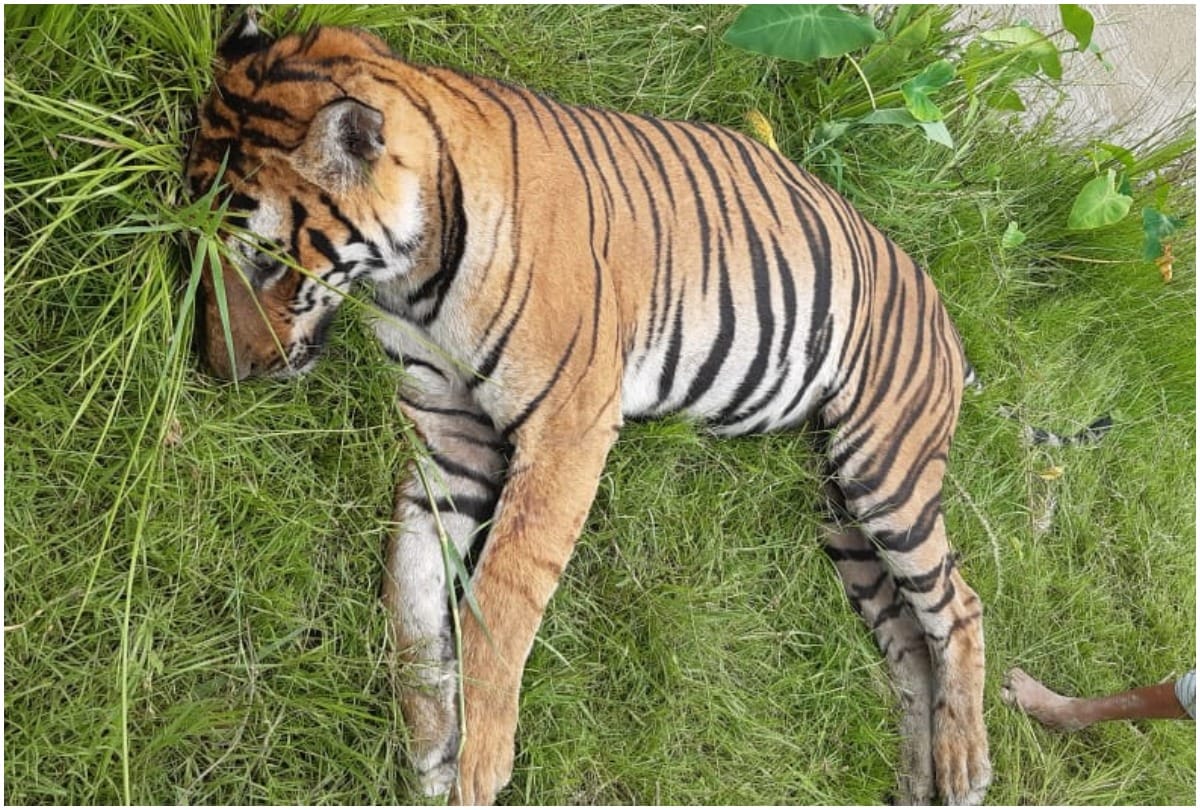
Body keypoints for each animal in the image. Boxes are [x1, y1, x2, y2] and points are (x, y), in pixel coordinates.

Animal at [186, 11, 991, 805]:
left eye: (264, 259)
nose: (224, 371)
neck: (409, 275)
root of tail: (938, 297)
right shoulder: (447, 433)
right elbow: (410, 592)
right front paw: (428, 744)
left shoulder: (567, 430)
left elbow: (502, 596)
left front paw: (475, 763)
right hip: (839, 513)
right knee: (908, 639)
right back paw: (919, 778)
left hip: (882, 469)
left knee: (959, 604)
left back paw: (964, 766)